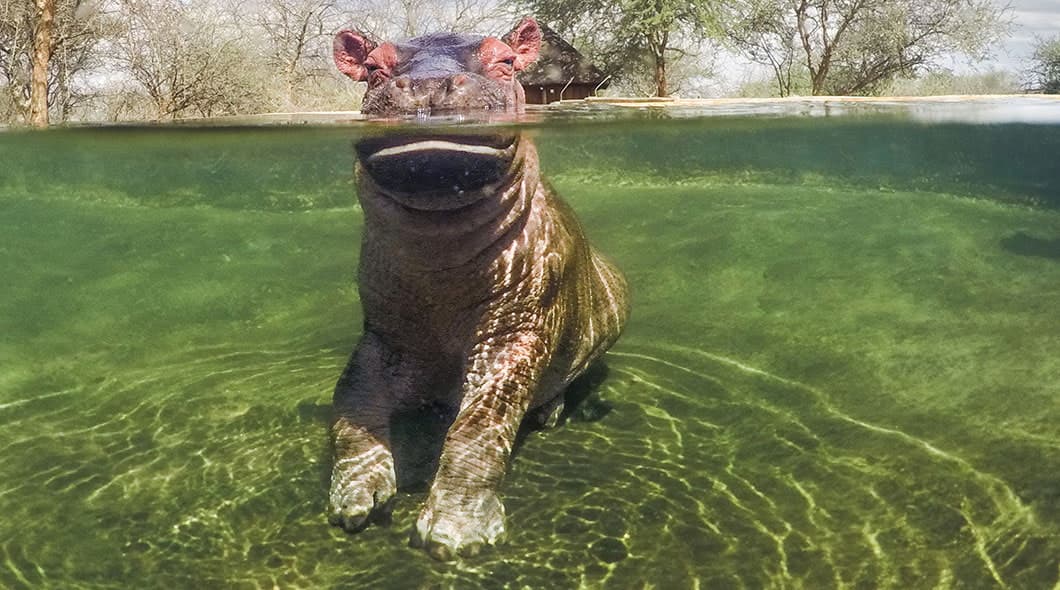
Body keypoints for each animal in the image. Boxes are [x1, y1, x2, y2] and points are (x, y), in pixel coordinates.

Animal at [328, 17, 629, 560]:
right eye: (373, 67)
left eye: (505, 61)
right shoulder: (384, 335)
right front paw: (356, 497)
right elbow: (351, 401)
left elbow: (480, 425)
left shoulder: (517, 331)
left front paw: (454, 534)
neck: (438, 253)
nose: (427, 85)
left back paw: (549, 413)